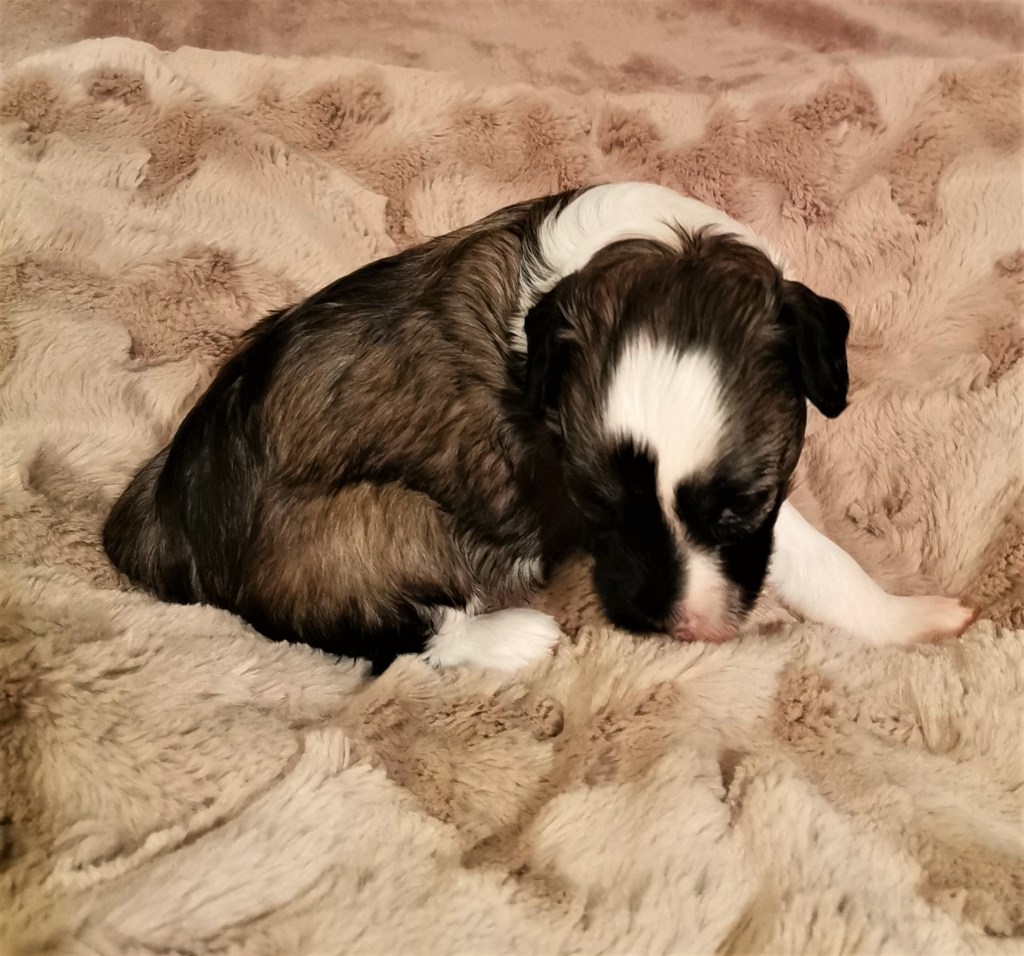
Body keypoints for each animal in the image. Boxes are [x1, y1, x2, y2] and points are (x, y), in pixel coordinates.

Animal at [103, 182, 975, 674]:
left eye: (737, 508)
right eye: (595, 504)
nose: (660, 622)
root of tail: (157, 520)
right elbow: (820, 559)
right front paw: (914, 619)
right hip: (375, 522)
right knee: (377, 628)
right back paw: (515, 636)